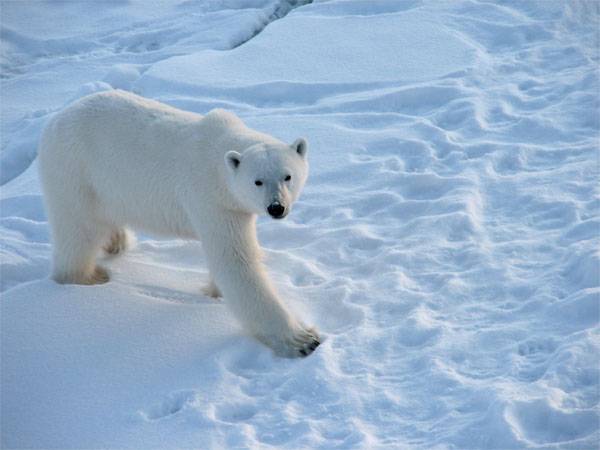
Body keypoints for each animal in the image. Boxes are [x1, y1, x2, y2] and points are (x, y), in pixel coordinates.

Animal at [37, 90, 318, 358]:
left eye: (287, 176)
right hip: (75, 172)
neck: (219, 162)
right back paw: (88, 277)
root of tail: (54, 121)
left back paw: (116, 242)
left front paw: (215, 292)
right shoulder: (211, 200)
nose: (276, 207)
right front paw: (303, 340)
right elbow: (236, 262)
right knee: (78, 231)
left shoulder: (231, 205)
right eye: (257, 181)